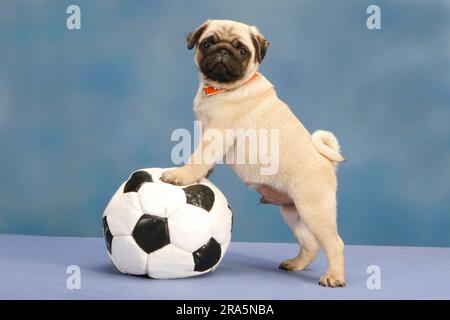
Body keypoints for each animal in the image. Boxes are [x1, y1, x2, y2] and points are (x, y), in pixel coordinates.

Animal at [160, 20, 346, 288]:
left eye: (242, 51)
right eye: (207, 43)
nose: (223, 50)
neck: (220, 89)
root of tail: (326, 161)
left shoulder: (217, 133)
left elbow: (199, 157)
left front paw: (182, 175)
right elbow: (206, 161)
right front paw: (204, 174)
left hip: (314, 209)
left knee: (334, 243)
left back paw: (334, 277)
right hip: (293, 212)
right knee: (311, 243)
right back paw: (296, 264)